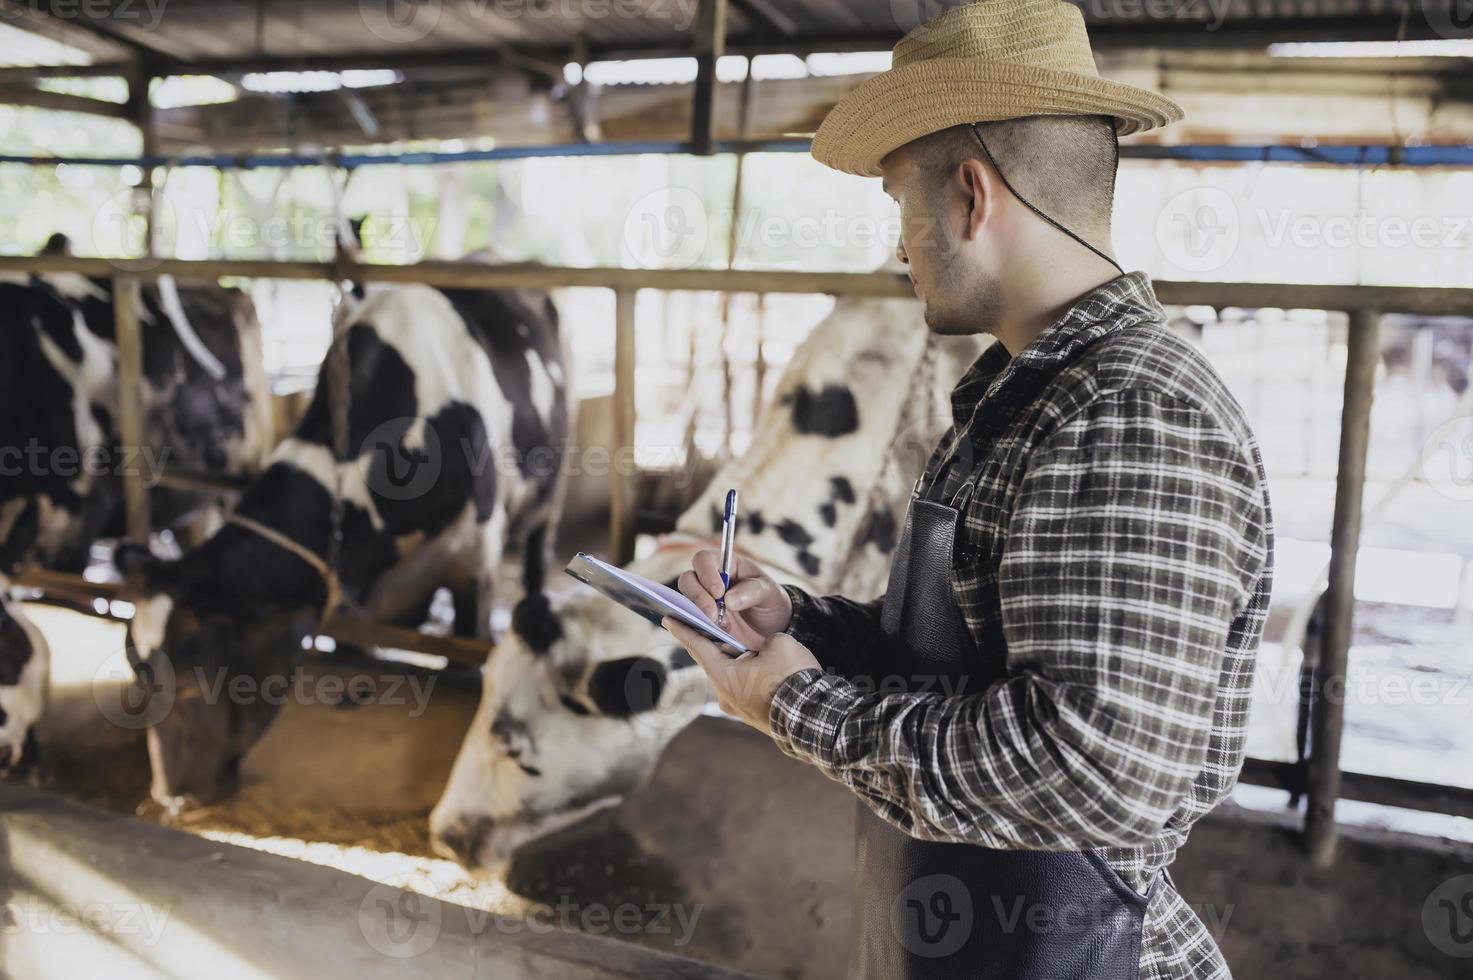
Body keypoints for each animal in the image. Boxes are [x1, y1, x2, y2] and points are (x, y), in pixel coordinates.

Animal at [119, 278, 568, 807]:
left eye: (192, 679)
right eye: (136, 675)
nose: (172, 796)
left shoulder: (475, 561)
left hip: (551, 493)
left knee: (539, 551)